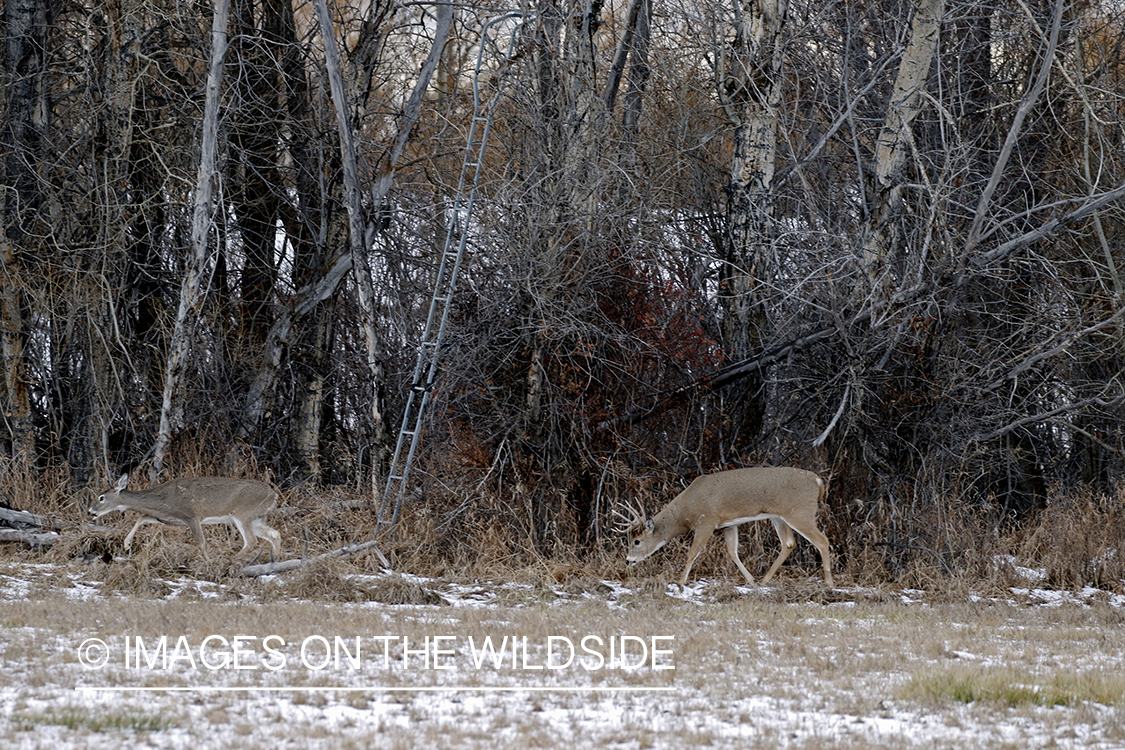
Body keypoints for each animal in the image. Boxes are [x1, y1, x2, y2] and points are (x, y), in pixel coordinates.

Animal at [88, 474, 281, 557]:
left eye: (101, 497)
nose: (90, 512)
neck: (164, 498)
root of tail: (274, 495)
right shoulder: (166, 517)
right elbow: (141, 517)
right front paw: (127, 544)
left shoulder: (191, 516)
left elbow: (201, 543)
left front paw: (206, 562)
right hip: (256, 518)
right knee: (275, 534)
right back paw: (276, 560)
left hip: (243, 514)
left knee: (252, 541)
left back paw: (232, 560)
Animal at [616, 470, 837, 584]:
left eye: (637, 541)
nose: (628, 561)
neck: (685, 513)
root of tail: (818, 481)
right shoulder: (728, 525)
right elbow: (732, 551)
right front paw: (750, 580)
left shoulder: (706, 521)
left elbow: (693, 552)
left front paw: (680, 582)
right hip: (779, 517)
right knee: (789, 543)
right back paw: (764, 581)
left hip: (800, 512)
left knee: (822, 540)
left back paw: (828, 583)